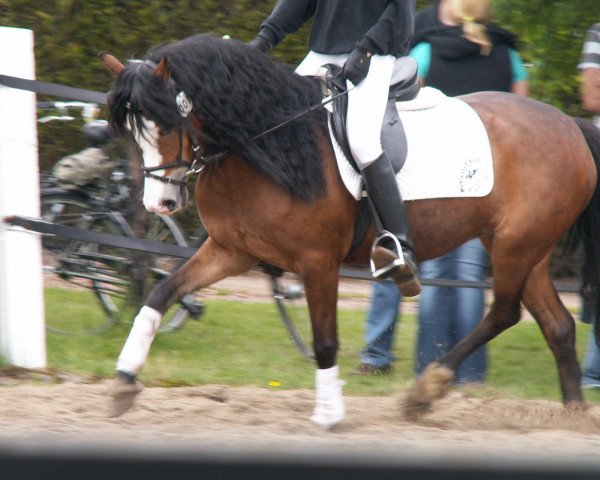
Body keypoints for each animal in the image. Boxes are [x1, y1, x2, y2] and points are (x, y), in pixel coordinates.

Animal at [102, 31, 600, 426]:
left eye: (168, 123)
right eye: (133, 133)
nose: (161, 203)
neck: (268, 143)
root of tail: (569, 124)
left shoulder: (317, 260)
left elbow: (325, 341)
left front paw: (329, 414)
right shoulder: (231, 250)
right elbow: (161, 294)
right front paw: (124, 378)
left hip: (515, 245)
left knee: (505, 312)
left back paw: (426, 390)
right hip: (525, 247)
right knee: (557, 325)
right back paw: (573, 416)